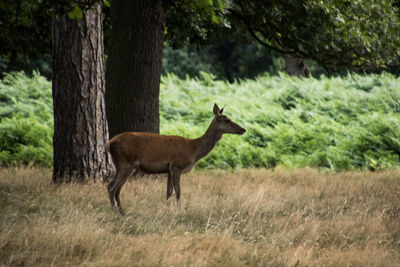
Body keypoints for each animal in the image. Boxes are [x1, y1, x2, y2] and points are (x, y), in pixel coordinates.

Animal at [104, 103, 245, 217]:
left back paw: (122, 212)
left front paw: (166, 211)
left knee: (117, 189)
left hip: (126, 166)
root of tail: (109, 143)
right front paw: (180, 211)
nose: (243, 129)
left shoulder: (168, 169)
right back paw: (114, 212)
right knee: (111, 186)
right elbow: (178, 191)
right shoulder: (177, 166)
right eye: (227, 120)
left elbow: (168, 192)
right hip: (124, 163)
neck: (193, 150)